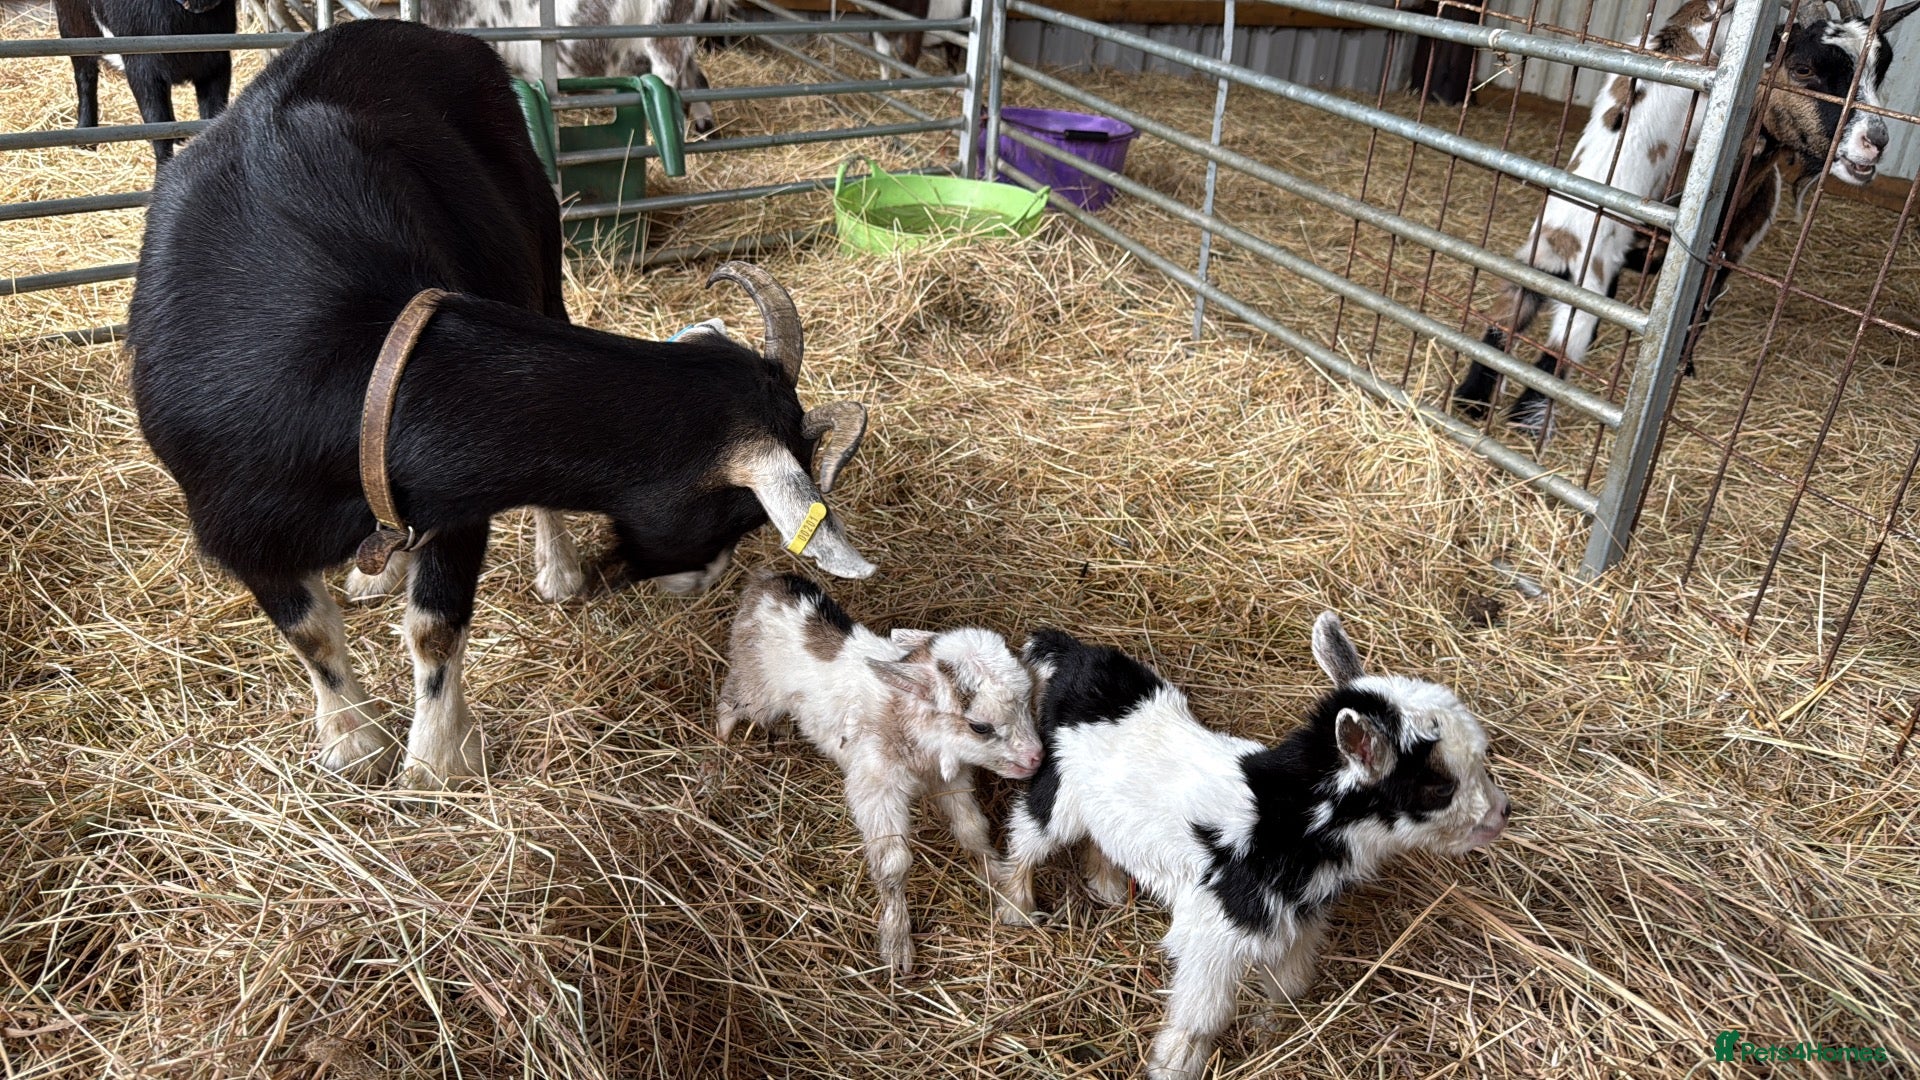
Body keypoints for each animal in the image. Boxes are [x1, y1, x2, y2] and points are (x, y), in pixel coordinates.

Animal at [53, 0, 234, 165]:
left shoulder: (216, 64)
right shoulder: (142, 69)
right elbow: (157, 128)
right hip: (72, 25)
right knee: (85, 77)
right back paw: (84, 137)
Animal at [128, 20, 873, 790]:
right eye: (739, 515)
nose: (705, 580)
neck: (343, 359)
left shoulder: (452, 503)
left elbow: (434, 628)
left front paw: (435, 764)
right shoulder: (240, 530)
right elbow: (310, 635)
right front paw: (353, 744)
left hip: (540, 262)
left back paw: (555, 569)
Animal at [718, 572, 1042, 975]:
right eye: (980, 726)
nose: (1036, 758)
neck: (902, 715)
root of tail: (768, 581)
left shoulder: (946, 777)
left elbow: (971, 828)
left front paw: (996, 875)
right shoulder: (876, 782)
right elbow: (893, 862)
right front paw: (897, 943)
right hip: (756, 687)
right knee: (730, 700)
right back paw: (721, 742)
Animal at [996, 615, 1510, 1080]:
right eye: (1439, 787)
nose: (1501, 813)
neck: (1281, 821)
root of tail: (1074, 656)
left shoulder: (1298, 920)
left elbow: (1290, 983)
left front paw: (1270, 1027)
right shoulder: (1215, 930)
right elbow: (1201, 1015)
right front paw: (1173, 1065)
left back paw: (1105, 884)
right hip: (1059, 791)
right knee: (1028, 834)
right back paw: (1016, 907)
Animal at [1455, 0, 1918, 438]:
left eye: (1880, 69)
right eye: (1803, 68)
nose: (1874, 142)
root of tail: (1563, 243)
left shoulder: (1724, 257)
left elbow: (1700, 311)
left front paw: (1685, 363)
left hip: (1530, 269)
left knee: (1501, 329)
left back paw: (1472, 401)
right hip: (1582, 294)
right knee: (1552, 362)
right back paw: (1527, 422)